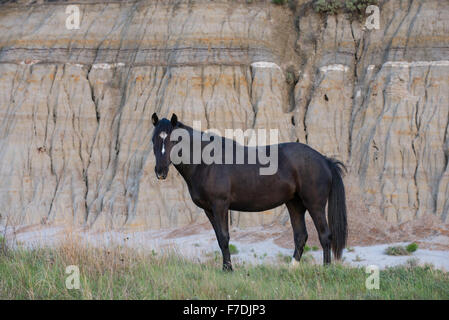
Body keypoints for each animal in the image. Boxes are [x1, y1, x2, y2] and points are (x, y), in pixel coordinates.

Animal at [150, 114, 346, 272]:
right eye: (153, 140)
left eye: (174, 141)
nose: (160, 171)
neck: (206, 163)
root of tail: (324, 160)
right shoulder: (208, 209)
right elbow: (219, 239)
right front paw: (226, 267)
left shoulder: (220, 205)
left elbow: (224, 237)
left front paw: (228, 269)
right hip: (295, 204)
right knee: (301, 236)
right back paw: (292, 269)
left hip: (315, 205)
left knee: (325, 235)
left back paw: (326, 269)